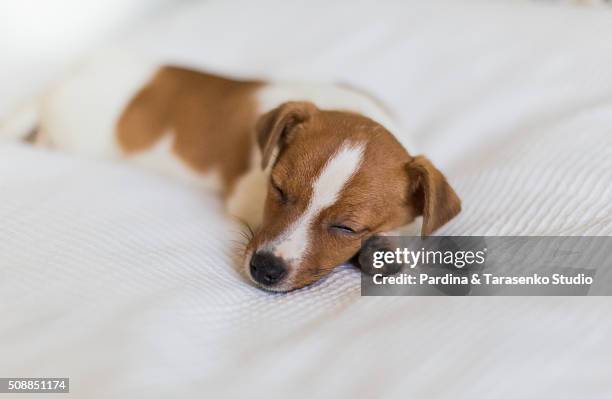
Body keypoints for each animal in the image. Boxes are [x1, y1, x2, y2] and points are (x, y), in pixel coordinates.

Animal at [0, 56, 460, 292]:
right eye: (278, 189)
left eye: (347, 228)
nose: (265, 269)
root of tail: (52, 91)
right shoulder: (247, 193)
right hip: (72, 138)